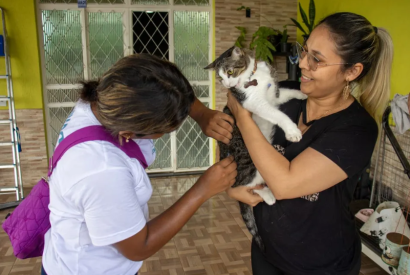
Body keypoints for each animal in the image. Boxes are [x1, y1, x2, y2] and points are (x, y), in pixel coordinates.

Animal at [203, 46, 306, 251]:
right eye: (220, 78)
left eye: (229, 72)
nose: (227, 85)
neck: (253, 75)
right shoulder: (252, 102)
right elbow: (277, 114)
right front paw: (292, 131)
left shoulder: (274, 96)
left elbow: (285, 93)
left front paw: (302, 94)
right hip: (249, 162)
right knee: (244, 185)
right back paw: (268, 195)